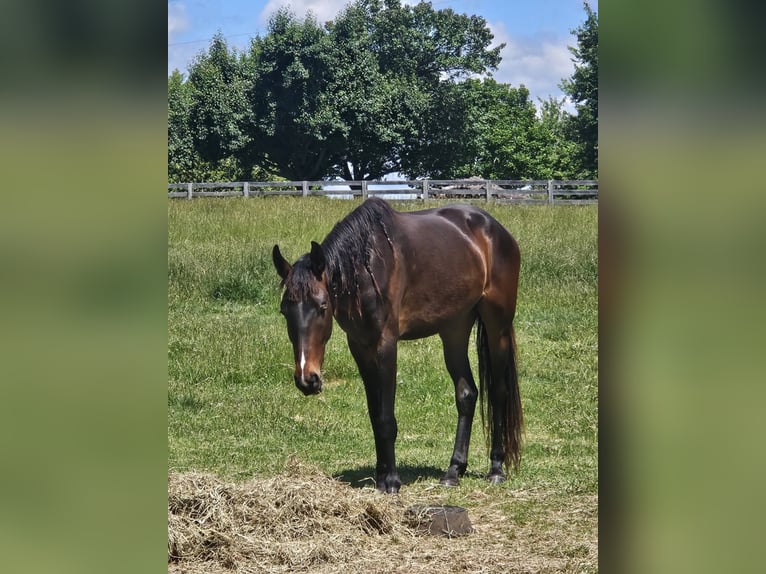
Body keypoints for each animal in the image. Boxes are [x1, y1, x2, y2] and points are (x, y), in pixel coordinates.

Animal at [272, 197, 522, 493]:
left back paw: (496, 468)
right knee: (466, 394)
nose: (306, 379)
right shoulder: (360, 347)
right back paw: (453, 471)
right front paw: (381, 477)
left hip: (497, 327)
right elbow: (375, 415)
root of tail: (496, 230)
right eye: (284, 311)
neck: (366, 270)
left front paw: (391, 481)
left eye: (322, 306)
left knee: (498, 392)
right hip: (455, 329)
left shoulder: (385, 346)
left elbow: (386, 418)